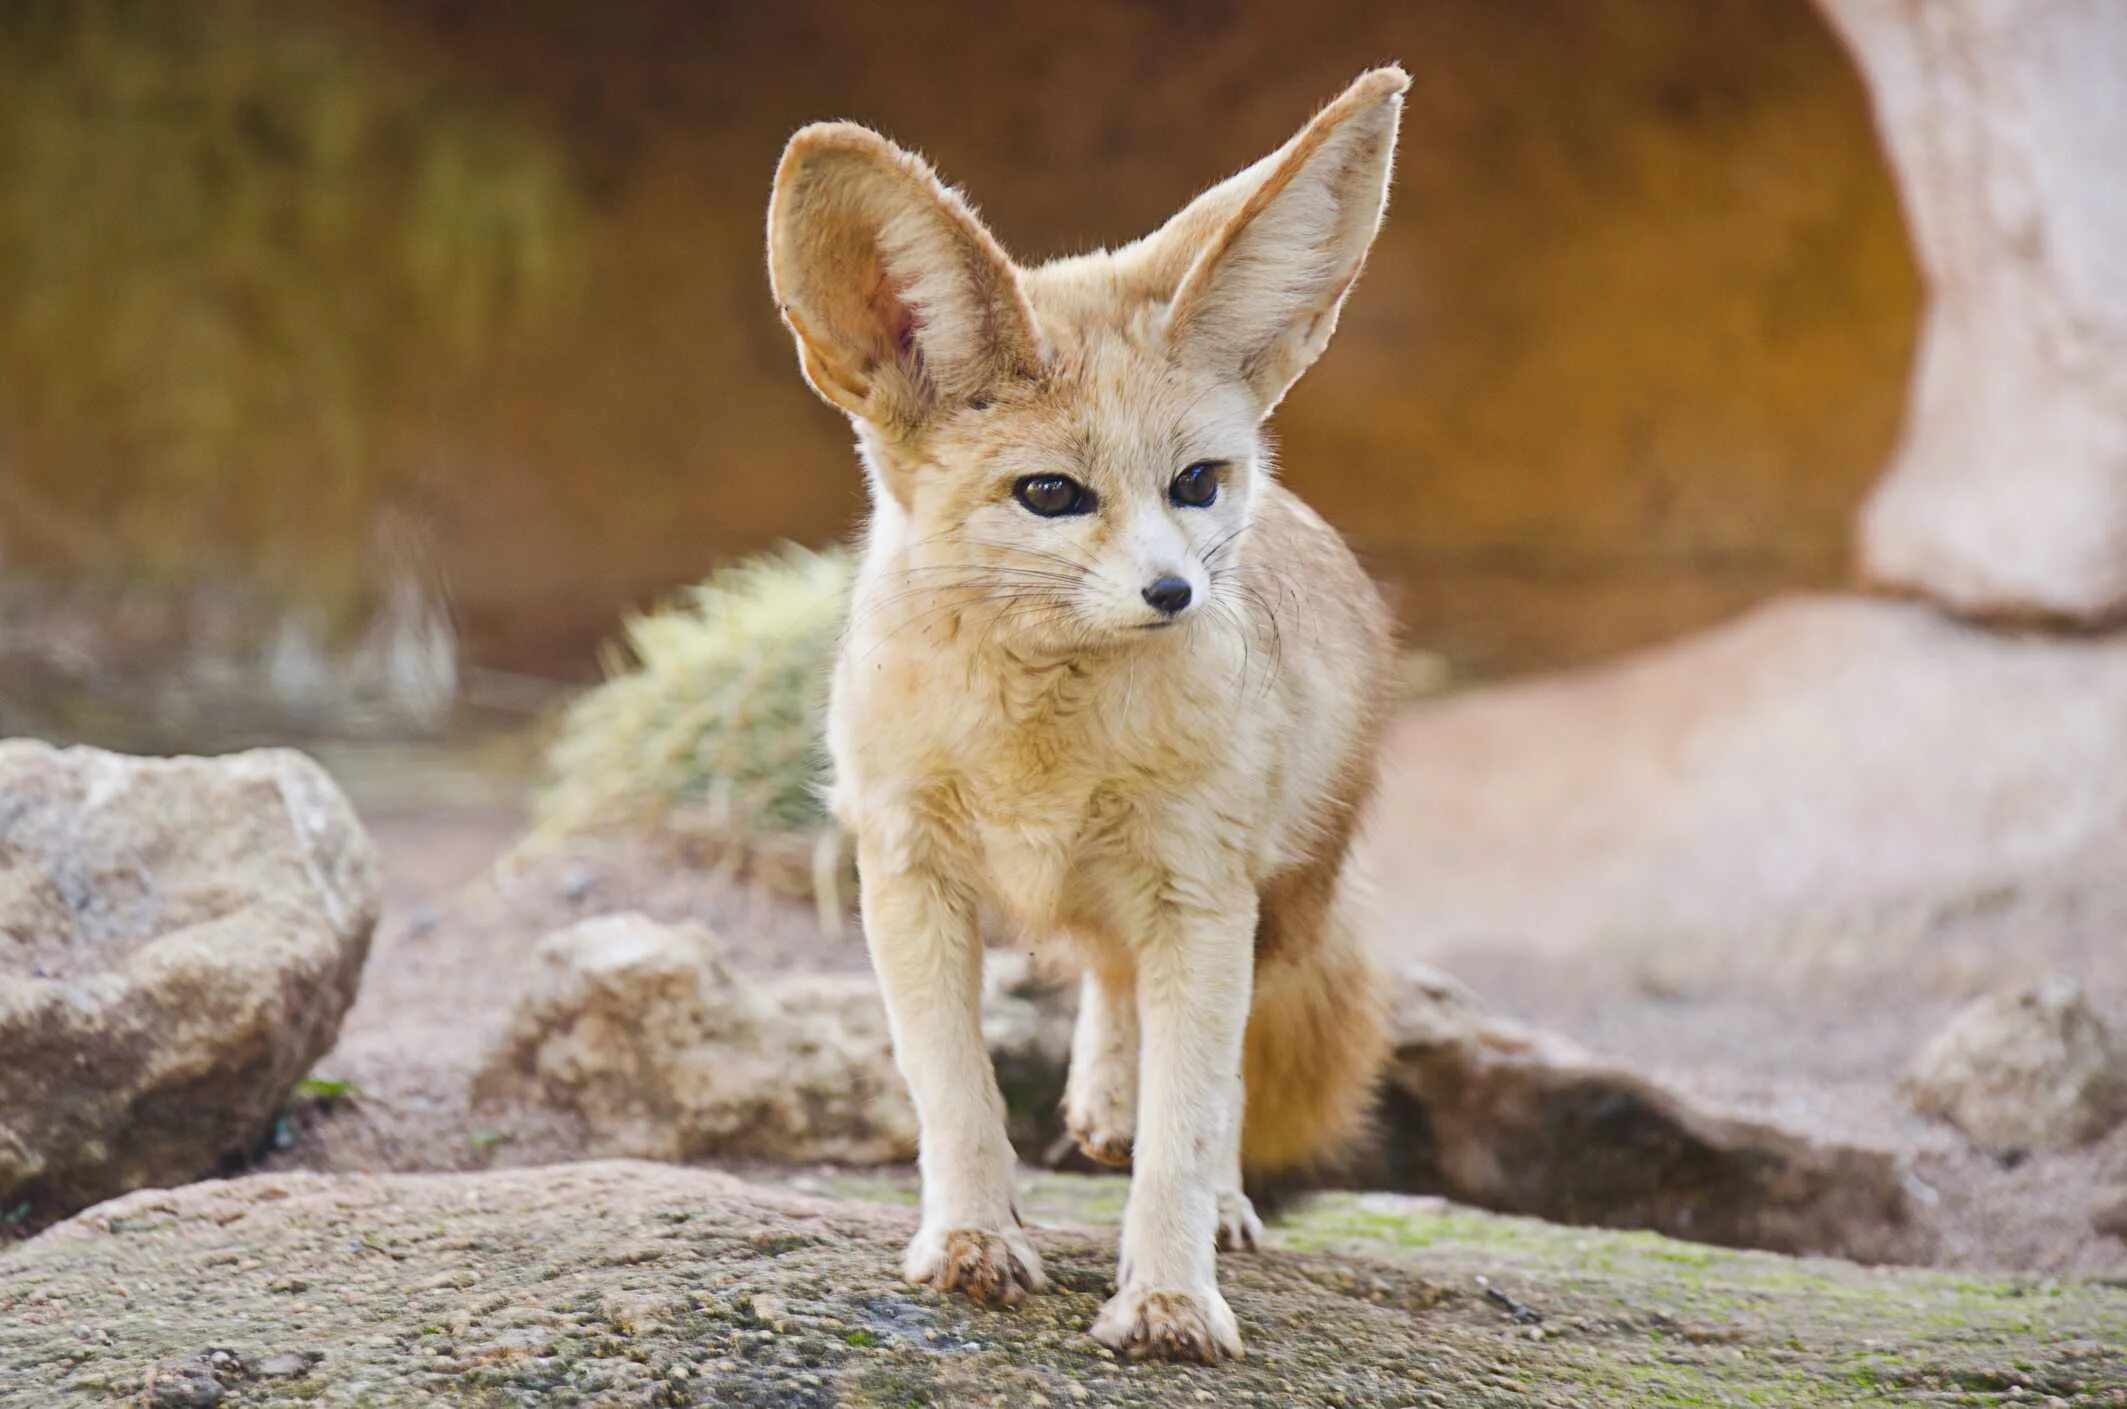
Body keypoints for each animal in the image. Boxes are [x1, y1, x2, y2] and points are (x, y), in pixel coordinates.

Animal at [774, 69, 1403, 1370]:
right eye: (1052, 493)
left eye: (1197, 483)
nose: (1175, 593)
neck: (1042, 750)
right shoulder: (908, 876)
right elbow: (956, 1093)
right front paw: (972, 1238)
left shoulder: (1203, 897)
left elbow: (1191, 1116)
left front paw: (1169, 1294)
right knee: (1114, 985)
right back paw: (1103, 1104)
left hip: (1271, 908)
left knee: (1204, 1068)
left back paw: (1208, 1193)